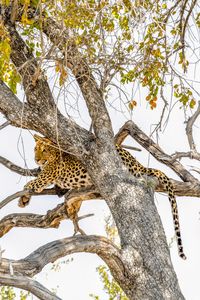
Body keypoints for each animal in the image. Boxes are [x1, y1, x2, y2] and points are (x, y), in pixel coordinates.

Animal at [21, 135, 186, 258]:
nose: (36, 159)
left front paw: (23, 197)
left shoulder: (46, 176)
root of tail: (137, 162)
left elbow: (29, 184)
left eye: (44, 150)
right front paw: (25, 199)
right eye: (35, 149)